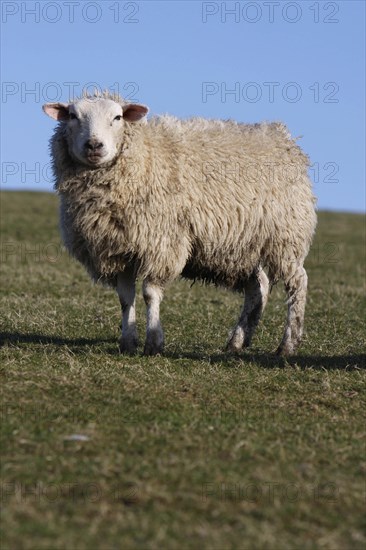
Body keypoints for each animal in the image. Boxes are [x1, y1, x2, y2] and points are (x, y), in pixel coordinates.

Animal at [43, 90, 318, 358]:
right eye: (73, 116)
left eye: (117, 117)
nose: (94, 145)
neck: (145, 157)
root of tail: (283, 137)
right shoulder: (119, 248)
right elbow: (125, 298)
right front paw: (127, 342)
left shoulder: (161, 243)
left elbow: (149, 293)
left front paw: (153, 343)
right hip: (241, 246)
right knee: (258, 288)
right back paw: (237, 342)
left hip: (285, 235)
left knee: (298, 281)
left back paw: (288, 344)